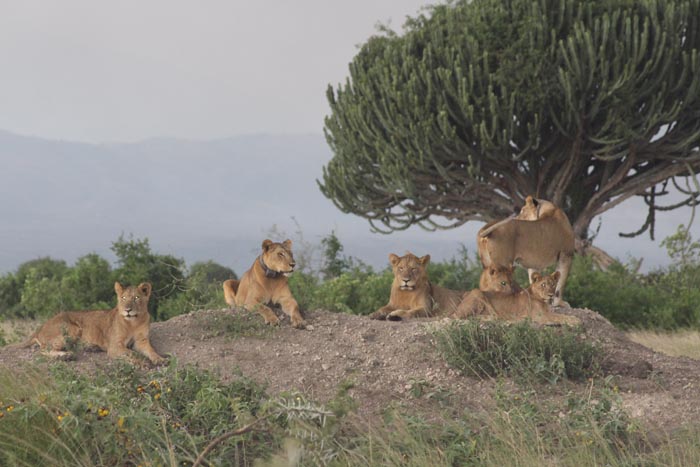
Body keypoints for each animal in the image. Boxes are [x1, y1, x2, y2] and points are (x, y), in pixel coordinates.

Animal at [19, 282, 164, 366]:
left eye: (136, 298)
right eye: (123, 298)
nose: (127, 310)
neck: (133, 321)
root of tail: (40, 328)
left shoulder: (141, 341)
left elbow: (151, 350)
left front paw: (159, 359)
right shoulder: (115, 346)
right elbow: (132, 353)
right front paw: (143, 361)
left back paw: (90, 347)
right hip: (72, 328)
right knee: (43, 350)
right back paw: (66, 356)